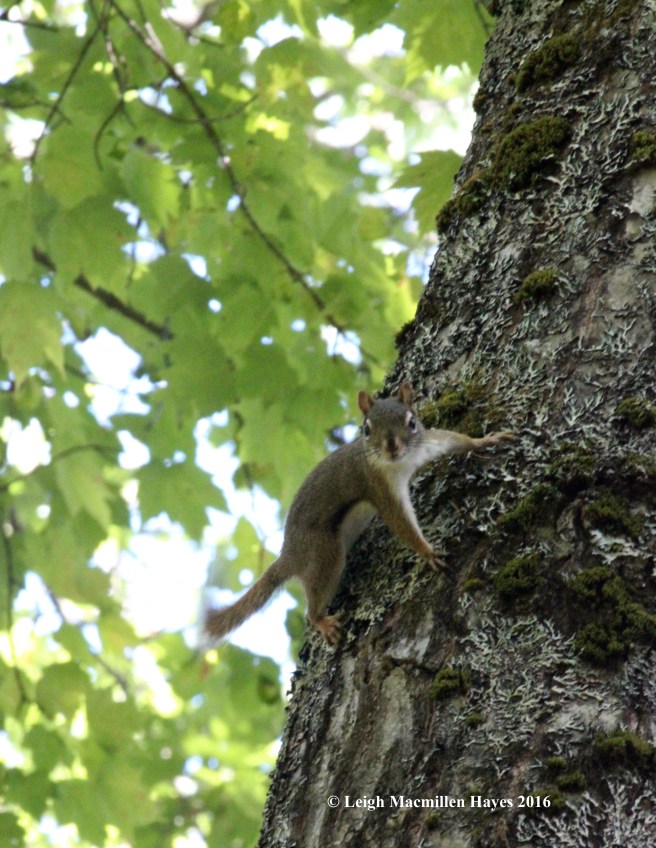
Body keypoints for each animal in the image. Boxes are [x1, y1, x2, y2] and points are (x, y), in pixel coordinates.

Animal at [205, 381, 516, 646]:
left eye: (411, 422)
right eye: (366, 429)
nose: (392, 446)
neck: (401, 462)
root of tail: (289, 556)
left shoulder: (429, 444)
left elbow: (454, 440)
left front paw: (488, 440)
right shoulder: (379, 488)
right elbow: (400, 523)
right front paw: (428, 553)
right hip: (325, 554)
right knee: (313, 603)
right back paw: (322, 621)